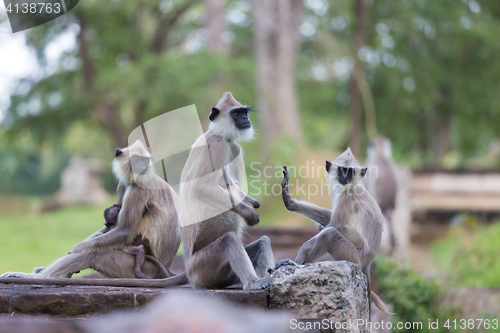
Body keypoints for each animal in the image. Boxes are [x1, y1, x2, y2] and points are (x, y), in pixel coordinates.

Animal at [0, 140, 188, 288]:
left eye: (144, 160)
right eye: (136, 159)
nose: (141, 166)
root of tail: (165, 267)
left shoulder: (138, 189)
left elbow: (124, 231)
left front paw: (75, 249)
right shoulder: (123, 185)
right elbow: (112, 227)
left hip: (136, 266)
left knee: (92, 254)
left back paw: (43, 277)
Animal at [180, 92, 276, 290]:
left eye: (244, 112)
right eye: (236, 113)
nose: (246, 119)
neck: (220, 135)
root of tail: (189, 274)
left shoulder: (234, 148)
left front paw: (254, 203)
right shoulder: (216, 144)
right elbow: (200, 187)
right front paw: (250, 214)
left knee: (263, 241)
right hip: (201, 269)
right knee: (229, 240)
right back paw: (253, 283)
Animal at [276, 147, 392, 314]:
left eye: (350, 172)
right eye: (341, 170)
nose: (344, 177)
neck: (353, 186)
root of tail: (368, 262)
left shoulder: (347, 197)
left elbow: (334, 225)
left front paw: (298, 258)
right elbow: (329, 220)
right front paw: (289, 201)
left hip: (353, 256)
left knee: (329, 234)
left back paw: (298, 264)